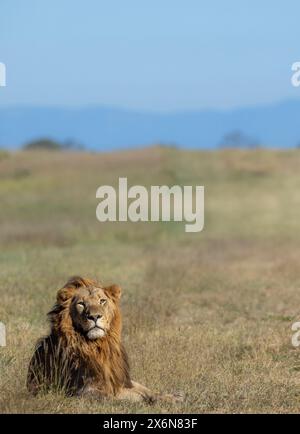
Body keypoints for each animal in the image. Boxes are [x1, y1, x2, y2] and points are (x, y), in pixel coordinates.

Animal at [27, 276, 183, 406]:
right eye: (81, 304)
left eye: (102, 301)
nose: (95, 316)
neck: (100, 346)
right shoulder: (85, 392)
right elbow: (126, 398)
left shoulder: (120, 380)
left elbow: (145, 391)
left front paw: (170, 397)